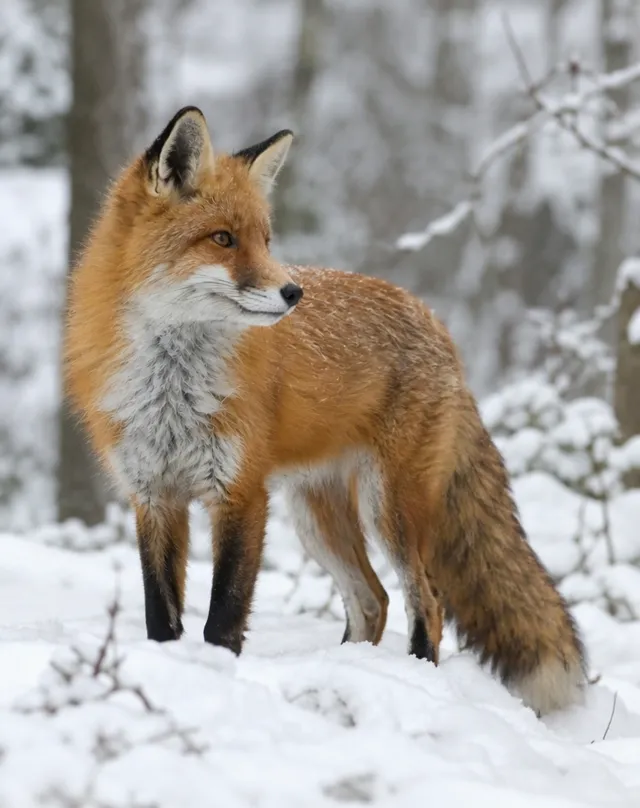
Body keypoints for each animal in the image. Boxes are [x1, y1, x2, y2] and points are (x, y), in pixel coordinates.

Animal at [64, 106, 586, 716]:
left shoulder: (240, 494)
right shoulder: (153, 496)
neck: (173, 389)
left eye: (266, 240)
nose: (294, 293)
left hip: (390, 510)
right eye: (223, 239)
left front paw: (220, 681)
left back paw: (418, 679)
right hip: (317, 519)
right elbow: (160, 619)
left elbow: (223, 619)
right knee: (373, 601)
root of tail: (436, 323)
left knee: (426, 603)